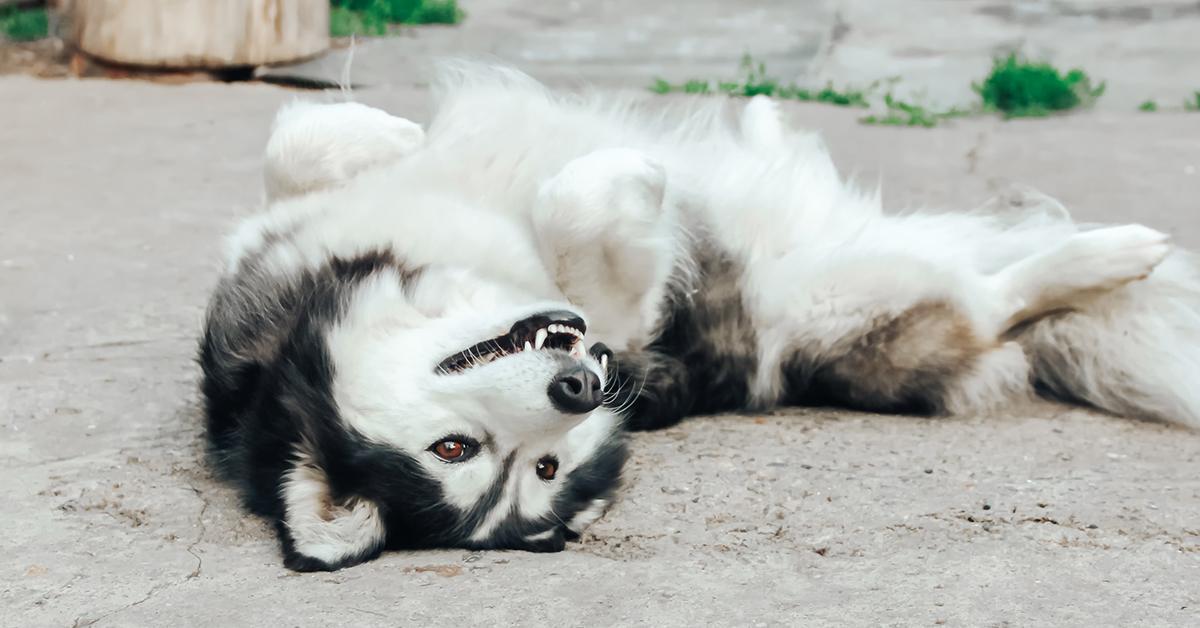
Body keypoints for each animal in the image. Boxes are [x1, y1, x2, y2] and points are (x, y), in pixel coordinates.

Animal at [201, 62, 1200, 569]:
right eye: (463, 450)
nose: (583, 385)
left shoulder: (280, 243)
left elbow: (296, 140)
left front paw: (397, 133)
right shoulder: (621, 316)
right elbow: (578, 204)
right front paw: (627, 180)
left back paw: (767, 120)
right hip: (853, 300)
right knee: (1001, 302)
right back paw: (1112, 255)